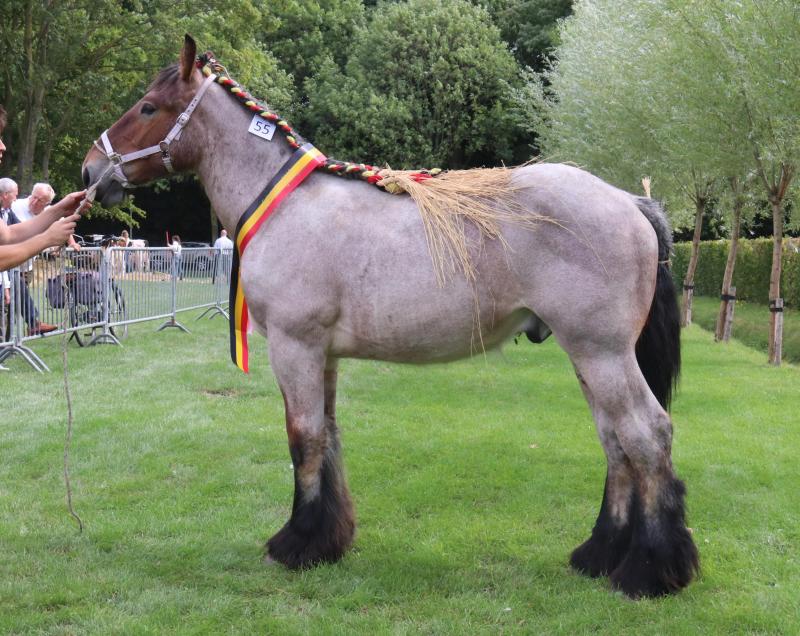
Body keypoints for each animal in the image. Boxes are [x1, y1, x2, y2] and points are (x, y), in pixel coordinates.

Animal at [79, 36, 692, 596]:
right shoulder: (321, 356)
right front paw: (326, 540)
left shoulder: (294, 347)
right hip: (590, 358)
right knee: (615, 442)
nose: (90, 170)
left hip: (602, 353)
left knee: (647, 435)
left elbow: (303, 438)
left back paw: (650, 570)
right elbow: (327, 436)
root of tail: (630, 202)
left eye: (148, 108)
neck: (286, 204)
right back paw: (599, 554)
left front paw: (296, 544)